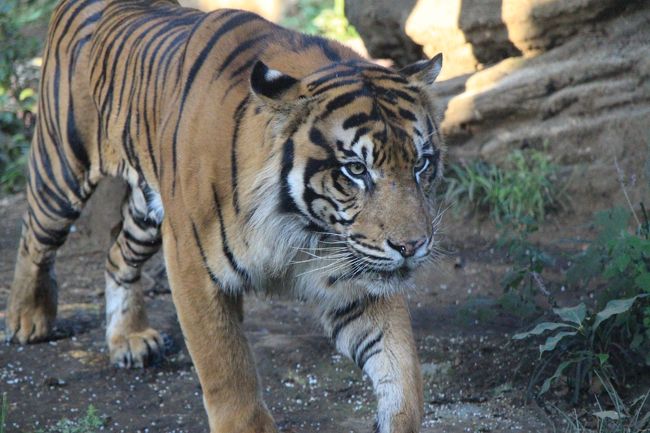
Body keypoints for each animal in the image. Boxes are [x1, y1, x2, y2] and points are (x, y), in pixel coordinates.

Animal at [3, 0, 446, 432]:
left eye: (421, 164)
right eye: (356, 169)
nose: (412, 246)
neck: (301, 226)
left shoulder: (356, 277)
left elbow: (401, 375)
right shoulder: (192, 265)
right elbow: (228, 373)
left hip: (148, 211)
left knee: (117, 254)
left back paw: (128, 338)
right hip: (61, 168)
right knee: (34, 238)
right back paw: (26, 319)